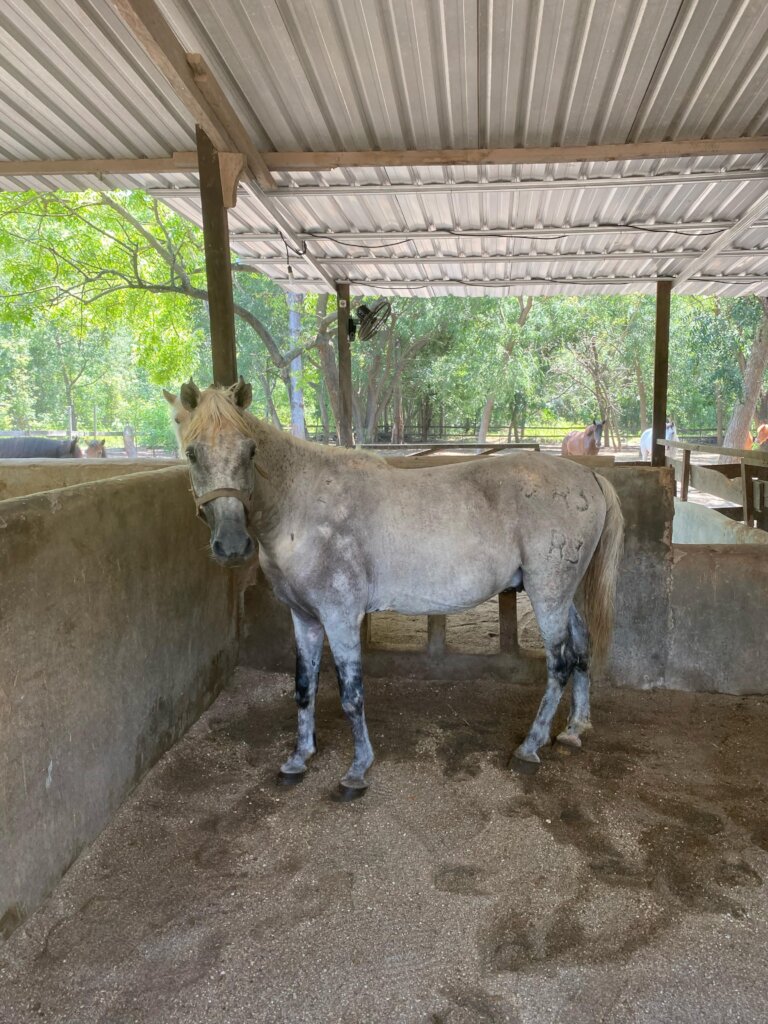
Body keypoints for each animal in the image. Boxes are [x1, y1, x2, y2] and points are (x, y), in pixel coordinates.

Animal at [168, 379, 624, 797]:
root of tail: (588, 475)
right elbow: (303, 687)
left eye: (250, 451)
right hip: (562, 596)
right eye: (192, 453)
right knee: (581, 649)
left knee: (560, 664)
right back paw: (573, 729)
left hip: (548, 595)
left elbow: (351, 694)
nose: (231, 545)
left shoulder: (340, 617)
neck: (302, 506)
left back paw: (530, 748)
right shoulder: (305, 618)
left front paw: (357, 770)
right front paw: (299, 758)